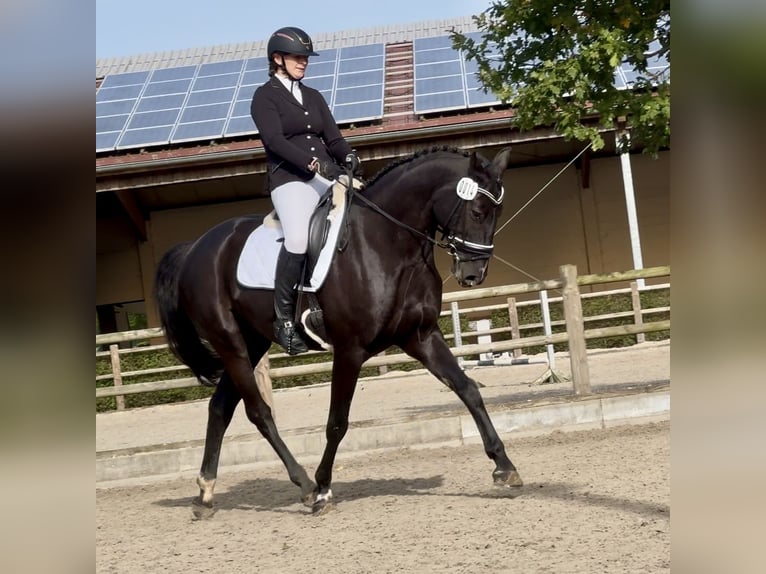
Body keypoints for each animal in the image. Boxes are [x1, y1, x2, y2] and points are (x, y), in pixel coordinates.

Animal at [156, 145, 528, 516]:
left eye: (498, 211)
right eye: (478, 211)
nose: (473, 275)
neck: (388, 243)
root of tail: (195, 248)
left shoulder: (421, 336)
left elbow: (467, 389)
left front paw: (504, 466)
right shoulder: (350, 349)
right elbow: (338, 421)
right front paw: (323, 488)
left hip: (252, 342)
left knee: (220, 408)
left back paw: (205, 494)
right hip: (229, 341)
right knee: (258, 412)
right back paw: (305, 486)